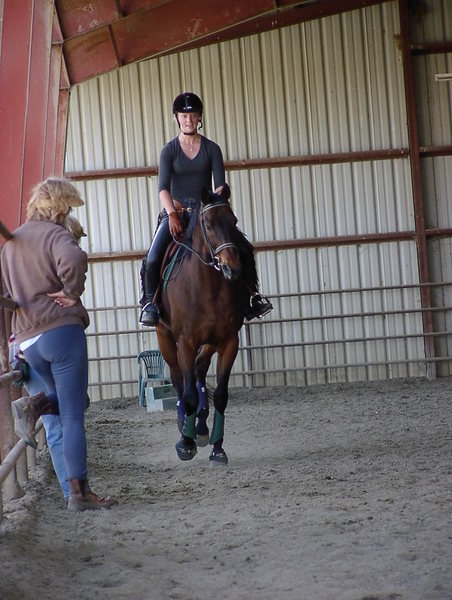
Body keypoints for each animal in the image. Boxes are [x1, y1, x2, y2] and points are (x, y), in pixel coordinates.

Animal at [155, 184, 254, 465]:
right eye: (208, 225)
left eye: (234, 221)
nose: (232, 268)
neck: (208, 287)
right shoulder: (186, 342)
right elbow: (187, 393)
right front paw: (185, 445)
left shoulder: (229, 341)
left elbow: (221, 395)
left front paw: (218, 449)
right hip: (165, 336)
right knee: (178, 378)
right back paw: (184, 426)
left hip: (209, 341)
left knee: (199, 369)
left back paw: (200, 426)